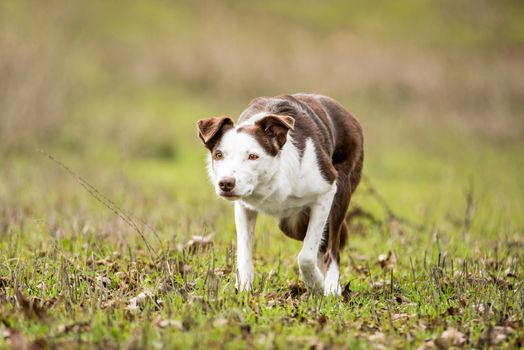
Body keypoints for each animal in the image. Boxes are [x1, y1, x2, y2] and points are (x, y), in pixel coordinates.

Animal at [198, 93, 364, 296]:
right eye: (219, 155)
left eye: (253, 156)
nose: (226, 184)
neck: (270, 181)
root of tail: (348, 114)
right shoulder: (244, 207)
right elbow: (244, 253)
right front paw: (243, 290)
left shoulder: (326, 193)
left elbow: (306, 255)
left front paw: (318, 283)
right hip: (291, 223)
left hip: (341, 191)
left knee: (332, 247)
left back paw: (331, 285)